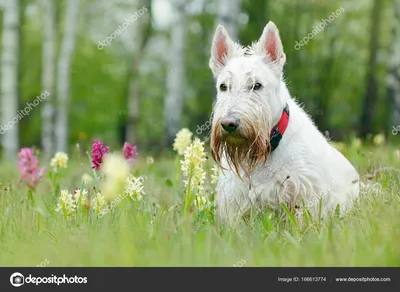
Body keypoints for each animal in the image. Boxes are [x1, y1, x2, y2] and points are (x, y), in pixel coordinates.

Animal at [209, 21, 360, 226]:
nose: (229, 124)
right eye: (223, 86)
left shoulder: (305, 193)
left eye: (257, 85)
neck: (264, 149)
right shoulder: (234, 199)